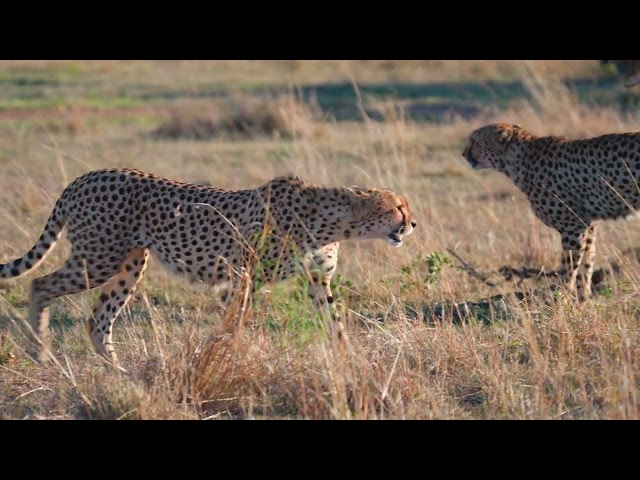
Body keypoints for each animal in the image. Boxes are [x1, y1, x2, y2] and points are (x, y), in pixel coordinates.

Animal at [0, 168, 416, 364]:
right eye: (398, 207)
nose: (412, 224)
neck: (334, 221)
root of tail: (84, 177)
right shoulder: (242, 276)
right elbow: (233, 323)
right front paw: (225, 357)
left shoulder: (317, 280)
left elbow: (336, 325)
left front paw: (350, 361)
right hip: (99, 259)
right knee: (40, 285)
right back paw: (40, 353)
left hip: (130, 264)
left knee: (99, 320)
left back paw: (120, 374)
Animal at [463, 122, 640, 301]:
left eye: (475, 141)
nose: (463, 154)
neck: (519, 160)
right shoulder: (588, 224)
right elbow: (586, 264)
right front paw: (582, 300)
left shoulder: (573, 226)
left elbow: (569, 268)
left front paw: (562, 299)